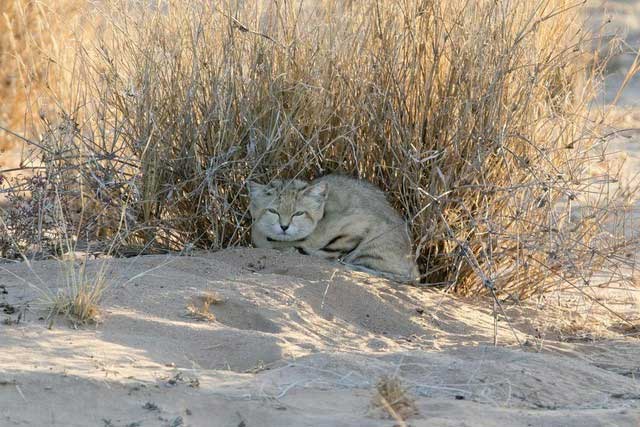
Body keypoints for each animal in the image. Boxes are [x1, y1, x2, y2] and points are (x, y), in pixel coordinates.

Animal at [246, 176, 420, 282]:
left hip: (373, 246)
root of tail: (414, 267)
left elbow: (326, 251)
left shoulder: (358, 224)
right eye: (272, 211)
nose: (284, 226)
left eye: (299, 213)